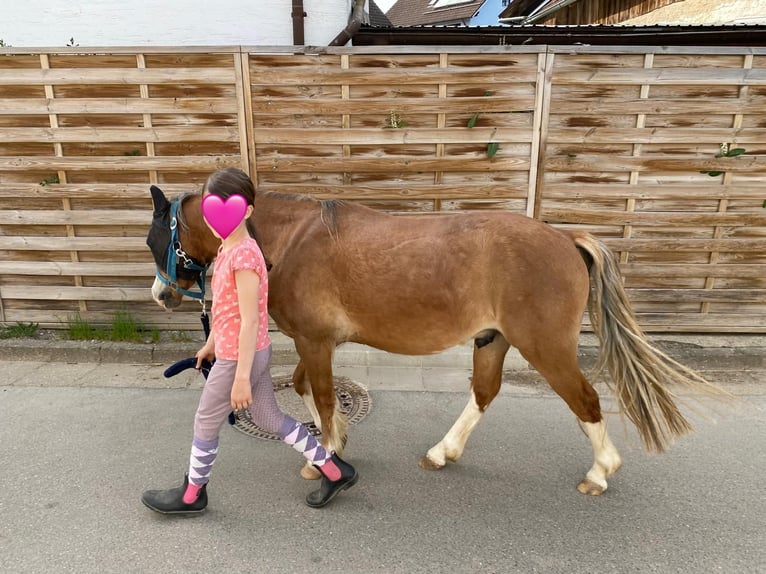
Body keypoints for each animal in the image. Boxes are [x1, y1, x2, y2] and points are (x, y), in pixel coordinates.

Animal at [146, 184, 726, 495]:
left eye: (156, 237)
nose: (161, 295)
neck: (296, 238)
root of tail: (564, 237)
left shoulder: (315, 340)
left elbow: (324, 395)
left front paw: (325, 455)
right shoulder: (320, 343)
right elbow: (307, 388)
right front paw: (333, 443)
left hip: (546, 349)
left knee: (585, 401)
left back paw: (601, 473)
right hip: (492, 341)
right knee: (484, 395)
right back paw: (443, 452)